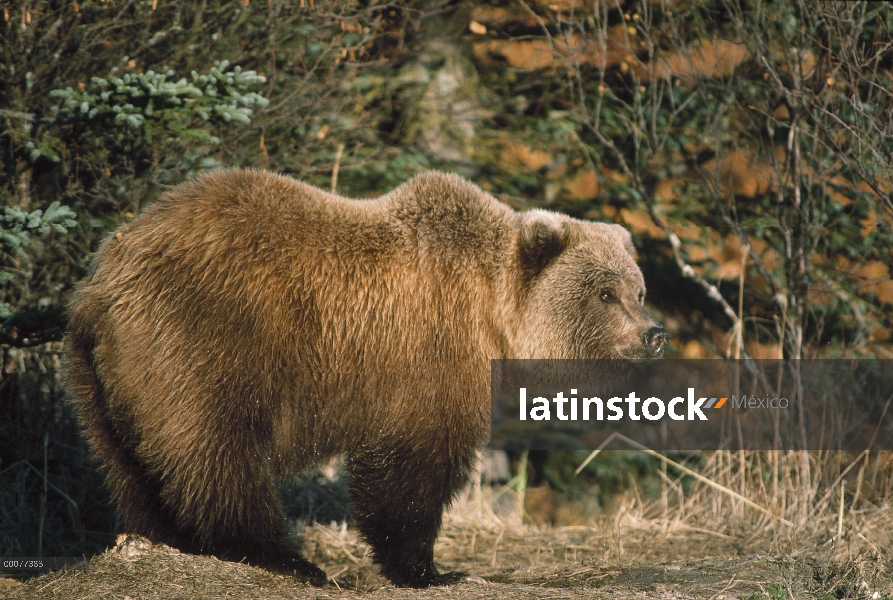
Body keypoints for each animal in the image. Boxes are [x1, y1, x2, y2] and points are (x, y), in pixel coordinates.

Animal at [64, 168, 668, 584]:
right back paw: (286, 558)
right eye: (605, 293)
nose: (655, 333)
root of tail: (101, 283)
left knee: (132, 464)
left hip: (103, 379)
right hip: (203, 341)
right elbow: (411, 468)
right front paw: (431, 569)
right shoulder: (428, 357)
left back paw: (161, 537)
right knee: (216, 452)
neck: (492, 318)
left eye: (638, 290)